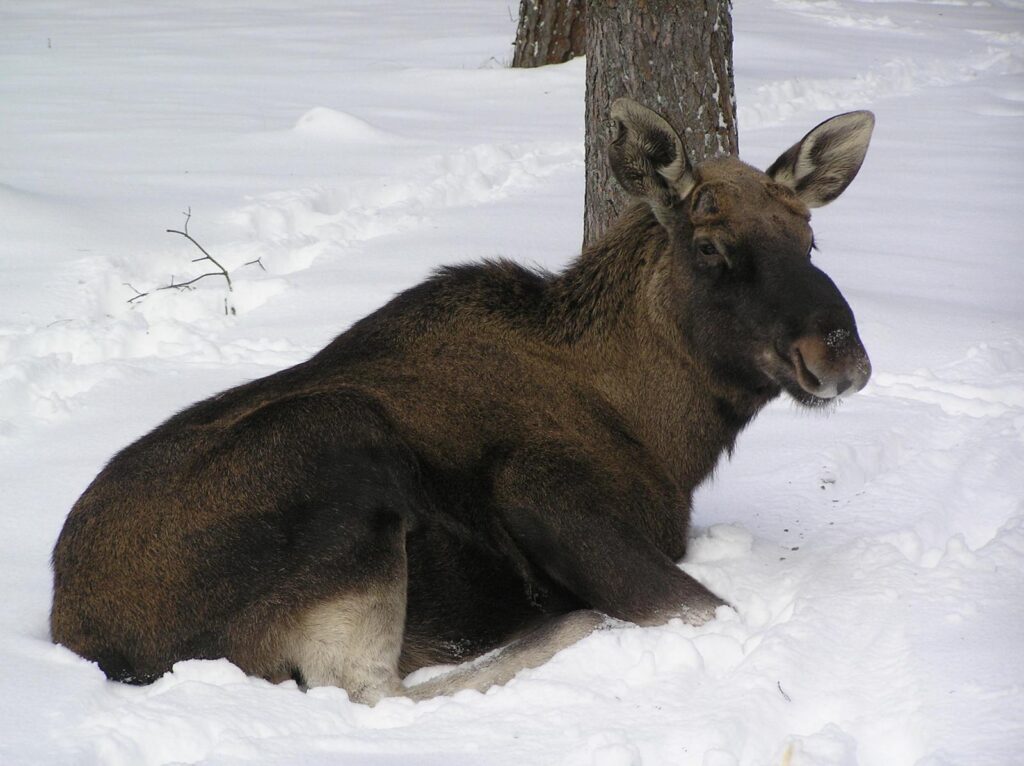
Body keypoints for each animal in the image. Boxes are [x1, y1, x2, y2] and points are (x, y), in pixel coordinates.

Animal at [51, 99, 875, 705]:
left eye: (809, 240)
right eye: (709, 248)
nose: (841, 352)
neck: (665, 435)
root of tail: (89, 637)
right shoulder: (541, 489)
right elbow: (702, 607)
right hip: (341, 442)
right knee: (373, 690)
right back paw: (573, 623)